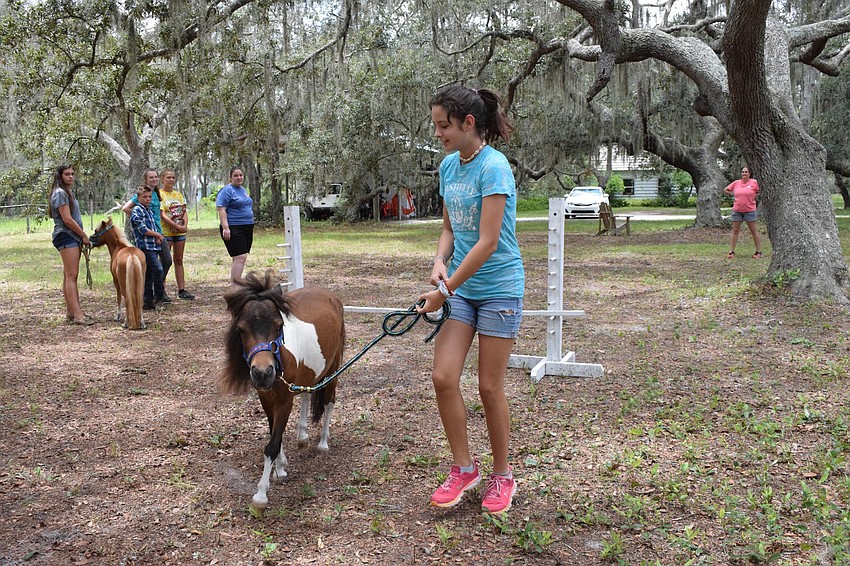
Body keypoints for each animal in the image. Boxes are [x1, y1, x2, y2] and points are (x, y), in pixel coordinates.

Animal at [221, 270, 346, 511]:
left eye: (279, 326)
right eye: (241, 329)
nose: (263, 373)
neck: (280, 358)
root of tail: (332, 297)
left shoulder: (284, 400)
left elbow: (272, 444)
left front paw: (261, 495)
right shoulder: (266, 399)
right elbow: (274, 435)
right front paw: (280, 468)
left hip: (333, 368)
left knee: (329, 401)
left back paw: (323, 443)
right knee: (307, 393)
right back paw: (303, 436)